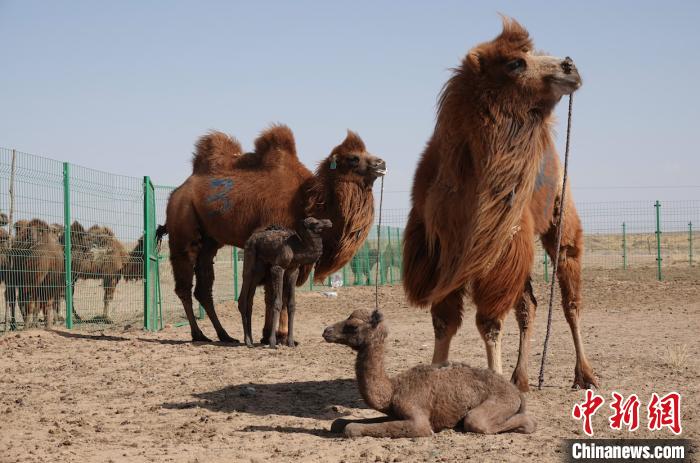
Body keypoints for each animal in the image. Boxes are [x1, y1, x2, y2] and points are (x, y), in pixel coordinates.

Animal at [239, 218, 332, 348]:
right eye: (315, 223)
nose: (329, 222)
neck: (296, 248)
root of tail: (250, 239)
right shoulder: (278, 268)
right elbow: (277, 302)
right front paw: (273, 342)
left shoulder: (293, 270)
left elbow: (291, 304)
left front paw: (291, 342)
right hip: (249, 259)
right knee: (243, 295)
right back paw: (248, 341)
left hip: (259, 270)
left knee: (250, 300)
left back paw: (251, 340)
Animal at [322, 312, 536, 438]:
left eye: (353, 326)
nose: (326, 331)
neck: (393, 390)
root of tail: (517, 393)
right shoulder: (395, 412)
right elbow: (340, 423)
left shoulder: (418, 418)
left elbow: (351, 428)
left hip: (500, 403)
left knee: (477, 421)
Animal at [402, 19, 600, 396]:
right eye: (516, 63)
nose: (570, 65)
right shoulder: (443, 250)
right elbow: (443, 321)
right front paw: (434, 378)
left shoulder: (499, 249)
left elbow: (489, 321)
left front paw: (494, 382)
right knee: (530, 306)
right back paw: (520, 377)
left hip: (559, 220)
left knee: (570, 299)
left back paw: (585, 375)